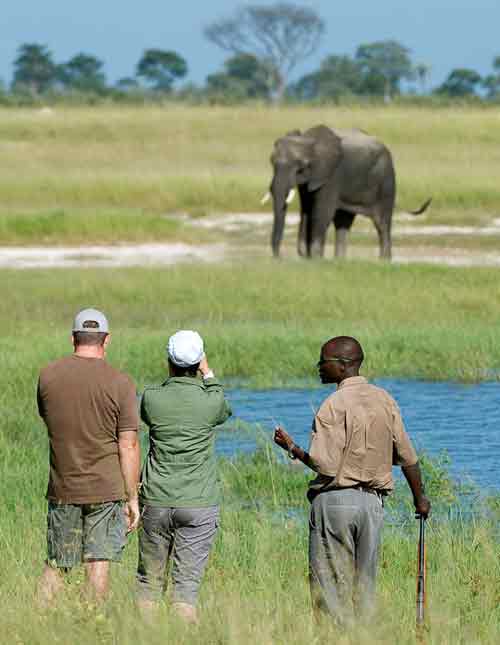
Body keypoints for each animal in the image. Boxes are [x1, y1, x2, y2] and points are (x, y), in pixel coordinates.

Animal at [262, 124, 430, 260]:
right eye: (271, 162)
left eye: (301, 167)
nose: (279, 257)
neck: (310, 138)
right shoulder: (310, 179)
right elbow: (306, 210)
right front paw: (307, 256)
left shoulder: (332, 175)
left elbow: (322, 212)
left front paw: (316, 258)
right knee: (343, 222)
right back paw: (340, 260)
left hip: (386, 181)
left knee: (382, 222)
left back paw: (384, 261)